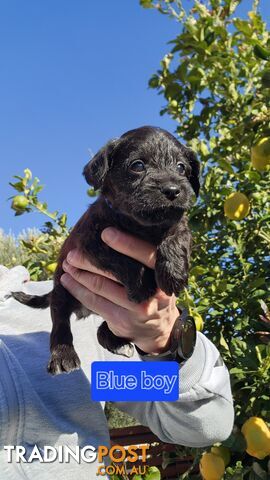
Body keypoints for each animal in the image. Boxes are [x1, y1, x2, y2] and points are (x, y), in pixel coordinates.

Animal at [11, 126, 199, 376]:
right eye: (137, 165)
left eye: (181, 167)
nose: (173, 190)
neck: (142, 227)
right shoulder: (92, 242)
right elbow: (119, 257)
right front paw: (142, 285)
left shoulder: (179, 223)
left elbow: (177, 237)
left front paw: (174, 273)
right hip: (62, 290)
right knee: (60, 324)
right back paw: (63, 355)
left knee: (102, 330)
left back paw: (119, 344)